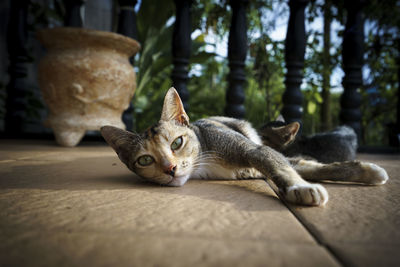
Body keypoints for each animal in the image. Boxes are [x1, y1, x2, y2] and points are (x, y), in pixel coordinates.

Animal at [100, 88, 388, 207]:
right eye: (145, 160)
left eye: (177, 142)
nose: (170, 168)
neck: (206, 162)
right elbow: (307, 166)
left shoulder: (255, 151)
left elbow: (290, 166)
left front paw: (301, 187)